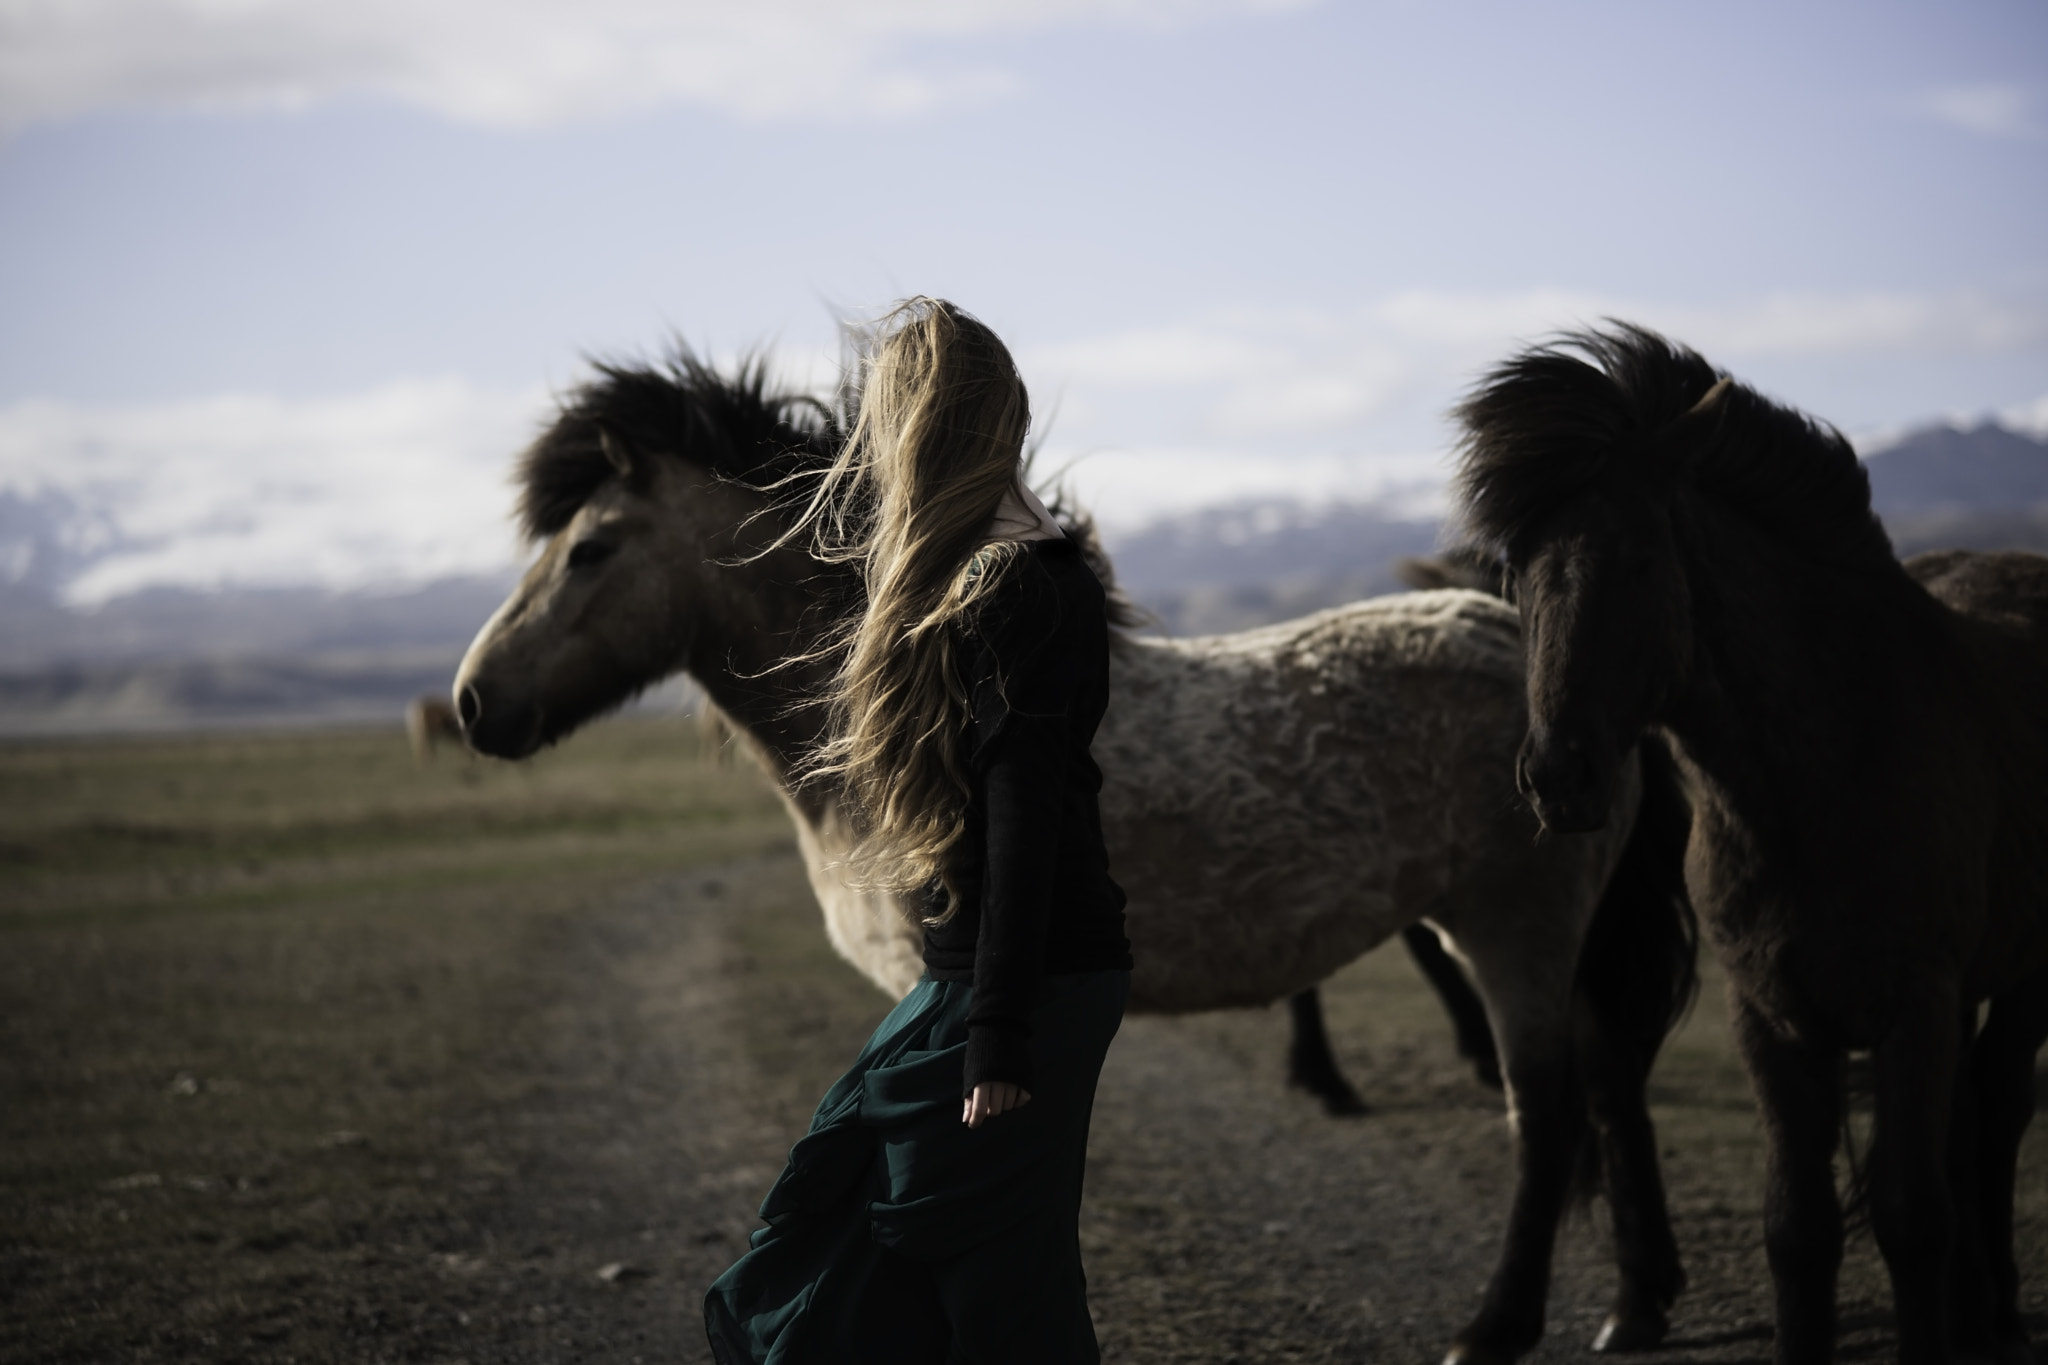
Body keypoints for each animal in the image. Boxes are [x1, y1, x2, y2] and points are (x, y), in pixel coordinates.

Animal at [460, 351, 1695, 1365]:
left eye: (591, 549)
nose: (474, 702)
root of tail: (1544, 671)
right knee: (1609, 1089)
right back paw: (1633, 1309)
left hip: (1514, 930)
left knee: (1547, 1117)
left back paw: (1496, 1327)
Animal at [1458, 325, 2048, 1365]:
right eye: (1516, 572)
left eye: (1641, 559)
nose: (1559, 776)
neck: (1826, 778)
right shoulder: (1770, 1015)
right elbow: (1799, 1226)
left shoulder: (1916, 1002)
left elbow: (1910, 1214)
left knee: (2001, 1107)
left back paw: (2001, 1316)